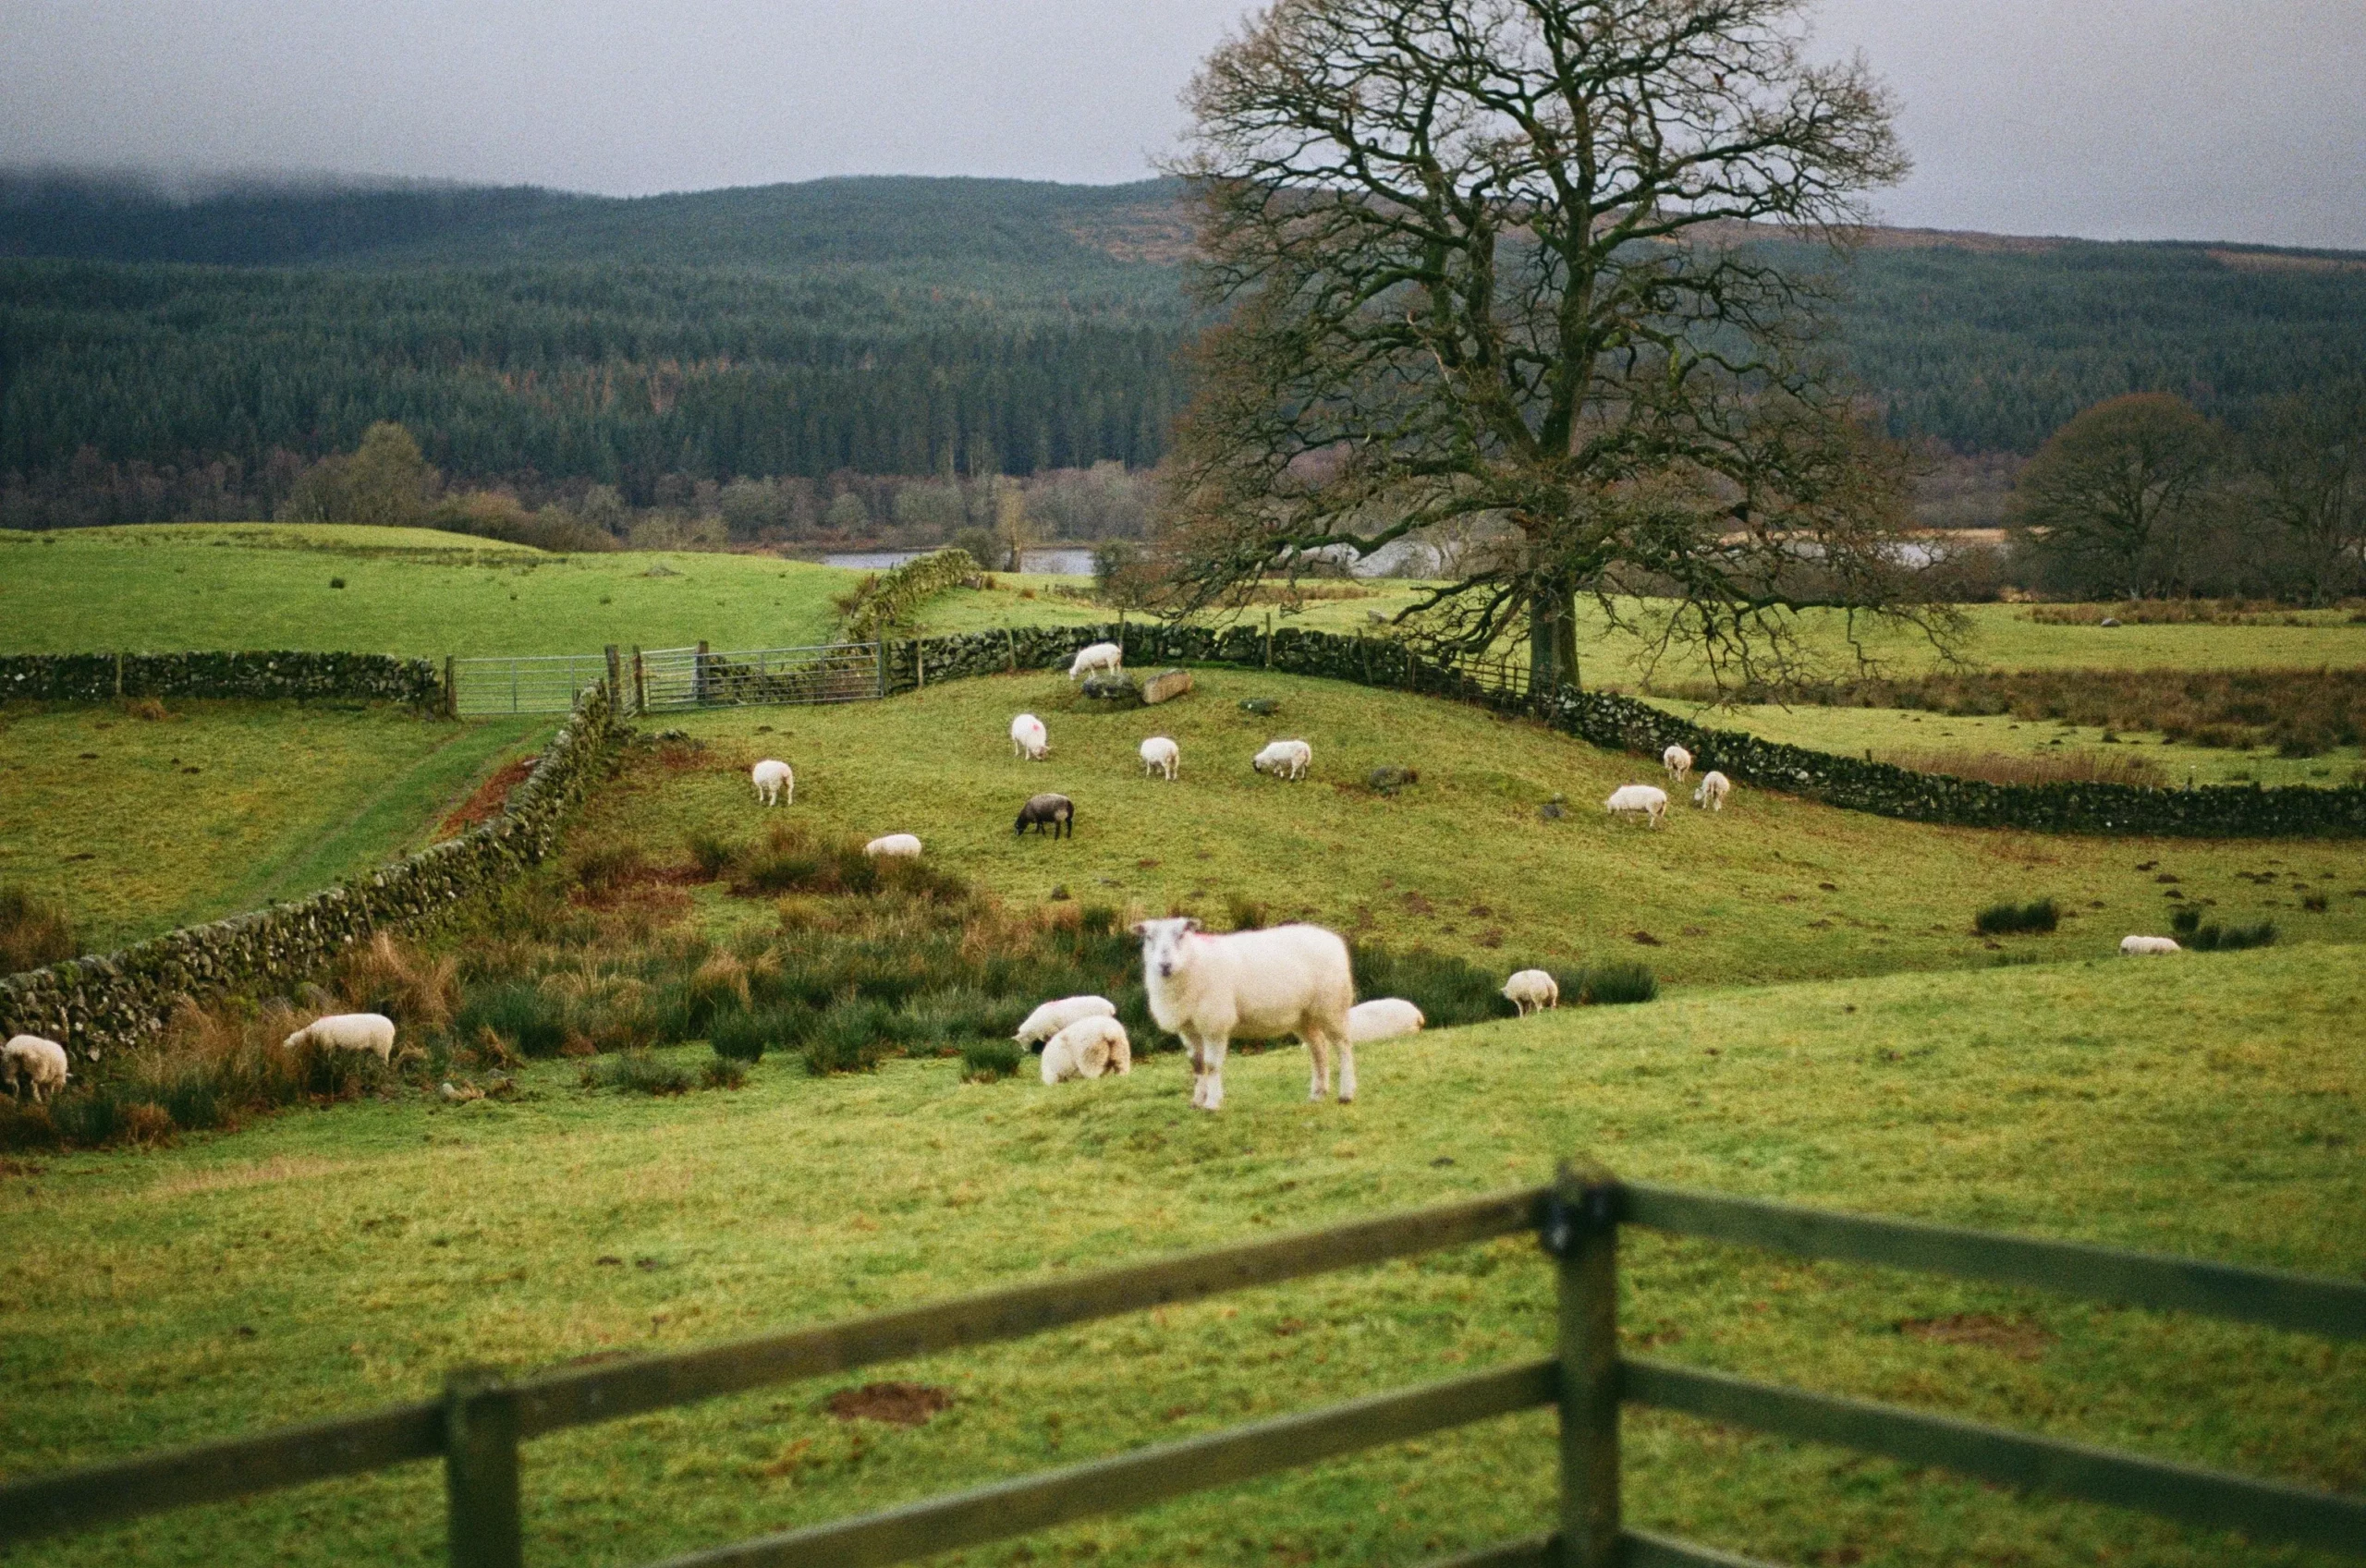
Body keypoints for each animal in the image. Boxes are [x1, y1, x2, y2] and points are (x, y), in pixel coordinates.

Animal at [1135, 922, 1362, 1116]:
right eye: (1148, 937)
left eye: (1181, 935)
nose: (1165, 965)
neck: (1195, 961)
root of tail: (1333, 939)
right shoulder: (1189, 1028)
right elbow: (1197, 1065)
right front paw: (1196, 1102)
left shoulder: (1214, 1023)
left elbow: (1211, 1065)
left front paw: (1212, 1103)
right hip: (1304, 1016)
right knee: (1319, 1049)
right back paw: (1317, 1094)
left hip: (1331, 1006)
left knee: (1343, 1047)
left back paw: (1346, 1094)